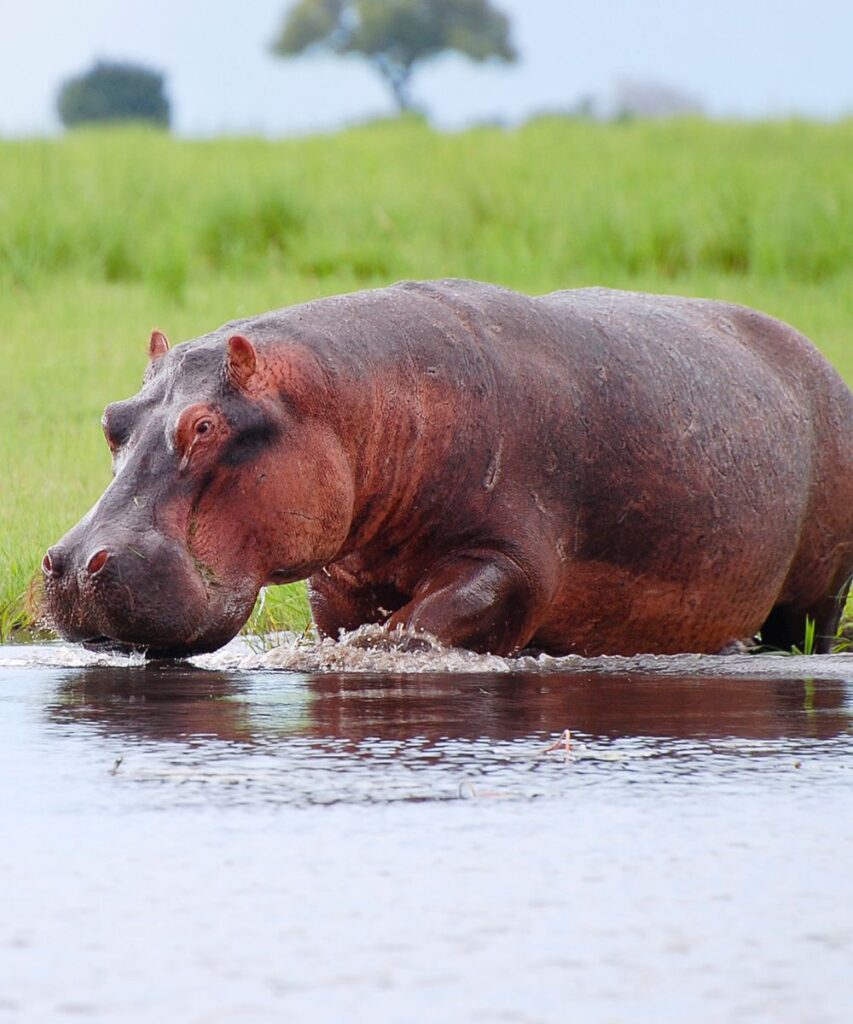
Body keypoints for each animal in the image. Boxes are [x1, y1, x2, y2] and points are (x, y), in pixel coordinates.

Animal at [43, 280, 853, 659]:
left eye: (205, 425)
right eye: (112, 418)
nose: (77, 561)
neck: (360, 401)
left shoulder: (513, 557)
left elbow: (438, 615)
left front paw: (386, 647)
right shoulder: (339, 577)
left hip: (816, 589)